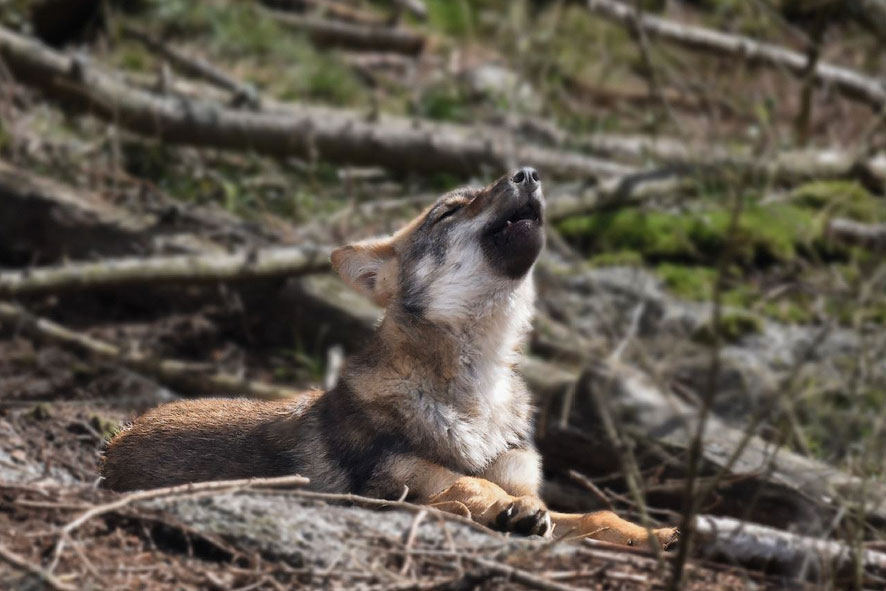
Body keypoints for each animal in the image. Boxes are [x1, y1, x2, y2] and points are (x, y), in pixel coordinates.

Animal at [99, 168, 680, 552]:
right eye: (450, 209)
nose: (529, 173)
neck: (478, 394)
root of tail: (115, 440)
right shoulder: (398, 478)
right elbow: (472, 484)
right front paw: (502, 513)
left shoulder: (529, 484)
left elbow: (599, 513)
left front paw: (660, 534)